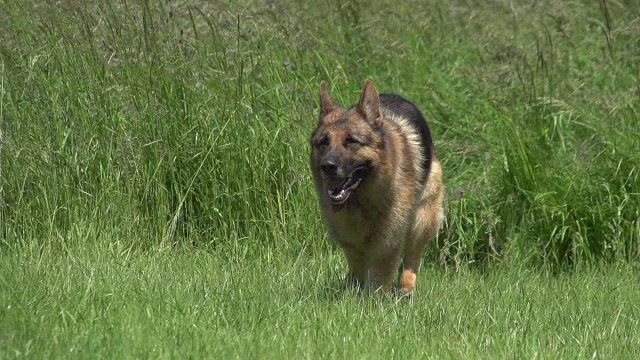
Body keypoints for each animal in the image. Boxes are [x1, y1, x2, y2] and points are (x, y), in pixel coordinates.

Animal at [310, 79, 444, 292]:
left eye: (351, 141)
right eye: (324, 142)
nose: (327, 166)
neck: (363, 201)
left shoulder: (387, 243)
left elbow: (379, 279)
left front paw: (373, 298)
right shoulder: (352, 243)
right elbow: (358, 271)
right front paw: (352, 292)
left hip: (423, 218)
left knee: (411, 260)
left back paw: (406, 289)